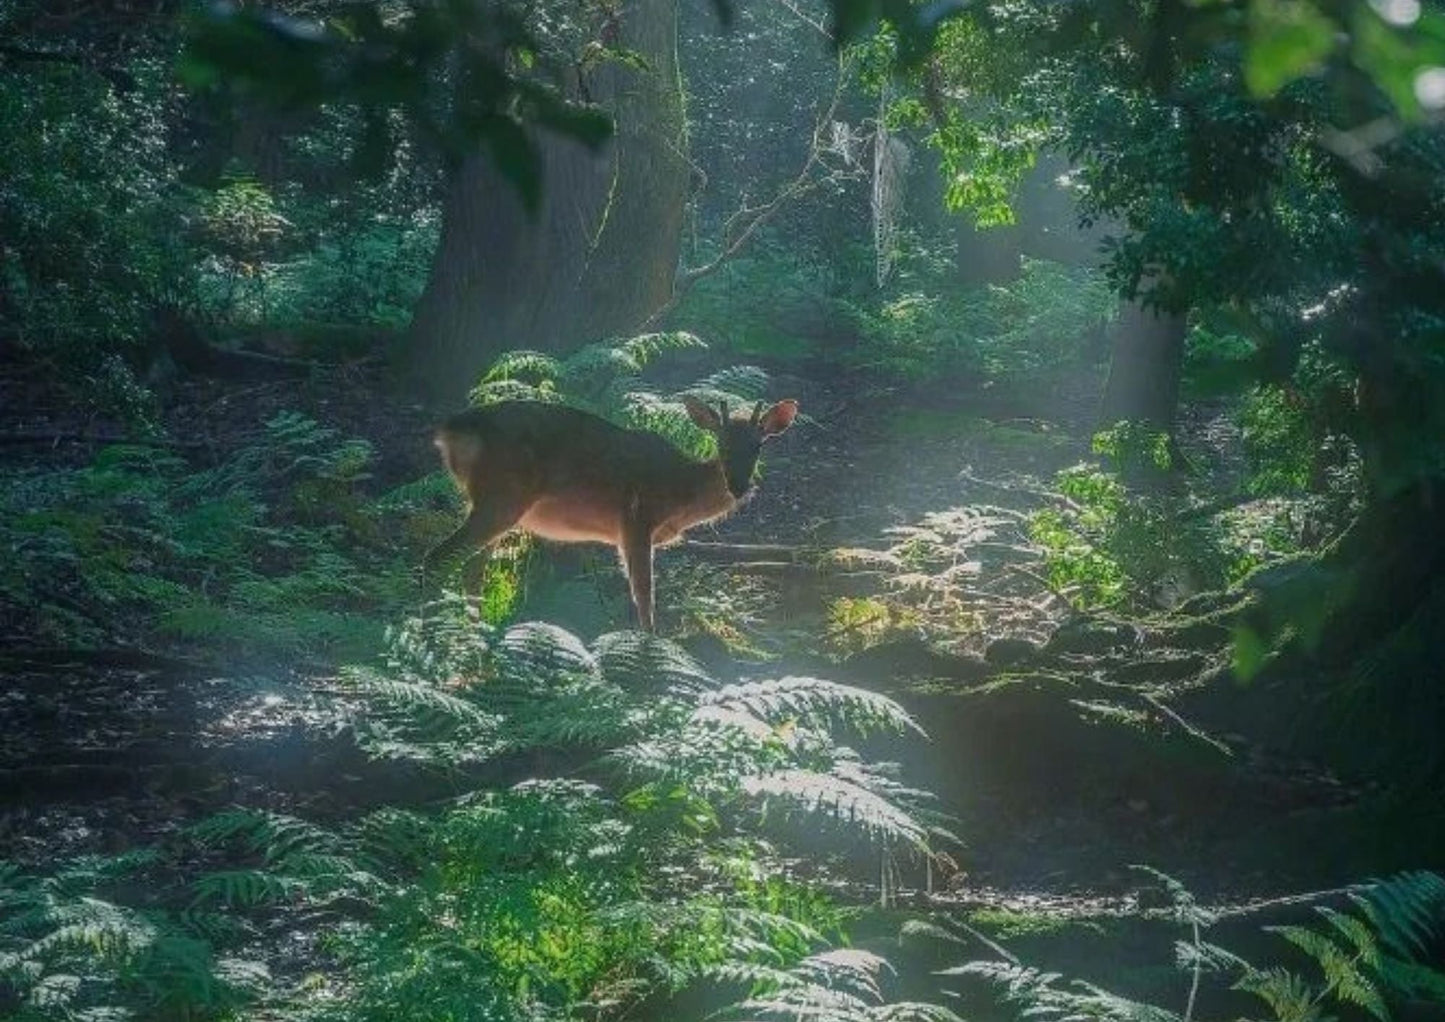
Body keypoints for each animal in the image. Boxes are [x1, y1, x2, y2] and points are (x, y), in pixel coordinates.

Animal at [421, 398, 797, 630]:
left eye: (758, 445)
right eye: (721, 444)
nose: (739, 486)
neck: (680, 497)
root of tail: (449, 430)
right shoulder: (635, 518)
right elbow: (644, 593)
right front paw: (650, 649)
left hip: (486, 503)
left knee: (471, 569)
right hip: (502, 495)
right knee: (438, 557)